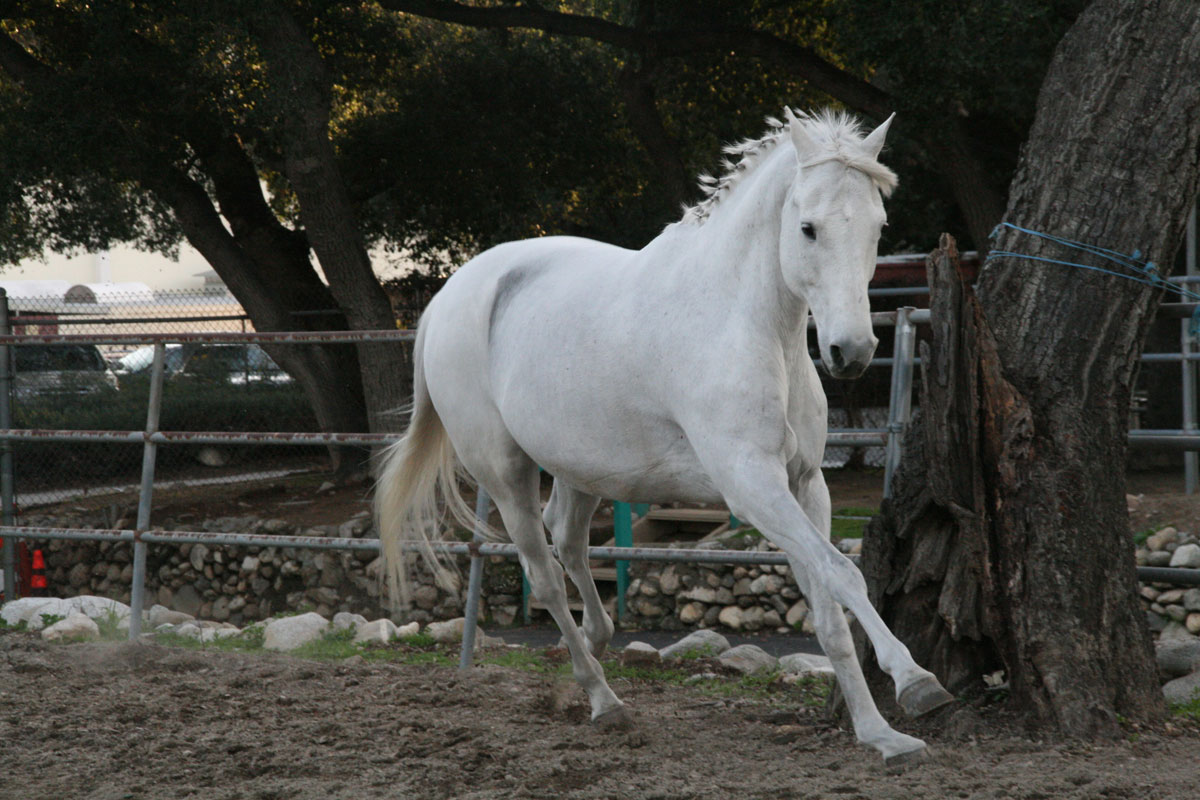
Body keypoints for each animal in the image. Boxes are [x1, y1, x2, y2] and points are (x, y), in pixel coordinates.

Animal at [375, 107, 954, 765]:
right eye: (807, 228)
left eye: (879, 227)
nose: (851, 351)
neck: (746, 324)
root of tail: (448, 297)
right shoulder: (751, 485)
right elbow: (845, 573)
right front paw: (916, 683)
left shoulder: (806, 485)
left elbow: (829, 604)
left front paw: (881, 734)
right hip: (504, 473)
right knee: (544, 575)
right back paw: (603, 698)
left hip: (580, 468)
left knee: (568, 540)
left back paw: (597, 644)